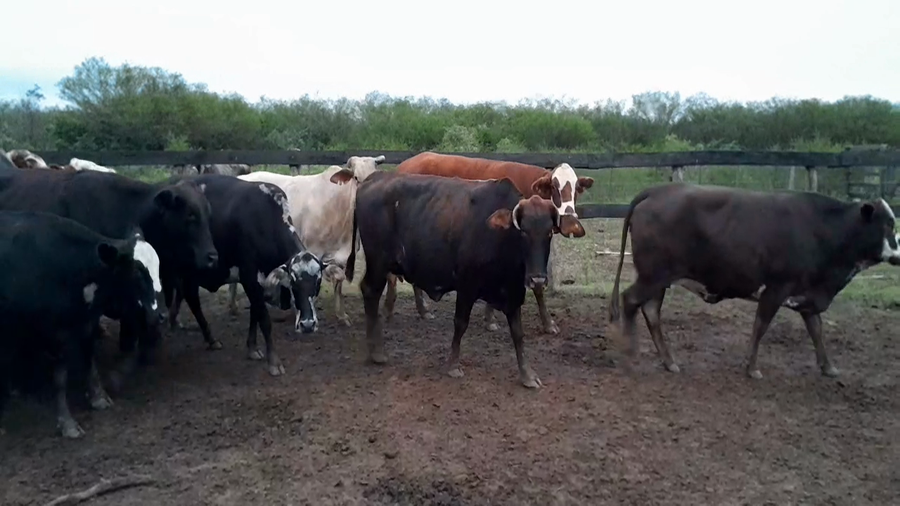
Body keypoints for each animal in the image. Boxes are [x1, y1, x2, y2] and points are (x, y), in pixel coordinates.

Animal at [0, 211, 165, 438]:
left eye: (158, 267)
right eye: (137, 272)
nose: (160, 315)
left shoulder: (88, 323)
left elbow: (89, 360)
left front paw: (98, 397)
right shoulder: (57, 333)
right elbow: (60, 378)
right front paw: (67, 423)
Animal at [163, 174, 328, 376]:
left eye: (318, 282)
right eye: (293, 283)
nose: (308, 325)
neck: (263, 221)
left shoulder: (259, 283)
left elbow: (254, 314)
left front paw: (252, 348)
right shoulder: (249, 276)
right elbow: (264, 319)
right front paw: (273, 362)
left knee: (187, 295)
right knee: (188, 297)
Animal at [331, 170, 585, 389]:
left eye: (549, 232)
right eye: (523, 231)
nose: (538, 280)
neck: (499, 237)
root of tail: (372, 179)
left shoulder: (513, 291)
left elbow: (517, 333)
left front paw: (527, 374)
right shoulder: (467, 286)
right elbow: (461, 323)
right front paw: (453, 365)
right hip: (378, 262)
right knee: (370, 292)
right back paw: (376, 351)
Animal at [607, 183, 900, 379]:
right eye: (887, 224)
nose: (898, 256)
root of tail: (658, 190)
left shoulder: (807, 295)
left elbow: (816, 330)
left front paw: (828, 367)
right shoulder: (776, 288)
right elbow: (761, 326)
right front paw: (752, 368)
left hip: (659, 279)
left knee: (651, 311)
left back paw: (669, 362)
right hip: (653, 276)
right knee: (630, 301)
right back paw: (630, 355)